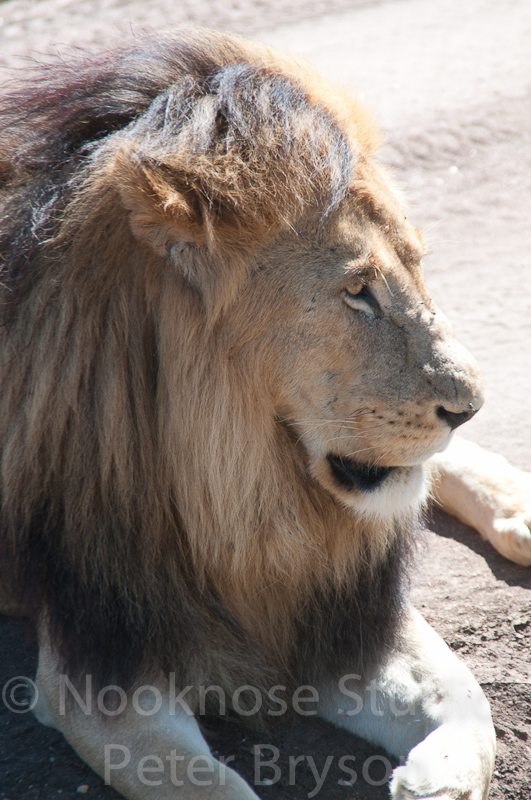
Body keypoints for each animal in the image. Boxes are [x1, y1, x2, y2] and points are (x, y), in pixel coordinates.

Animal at [0, 28, 530, 800]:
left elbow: (468, 699)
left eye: (417, 263)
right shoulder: (98, 659)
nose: (469, 405)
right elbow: (204, 783)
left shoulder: (337, 612)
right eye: (358, 290)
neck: (241, 497)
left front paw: (433, 780)